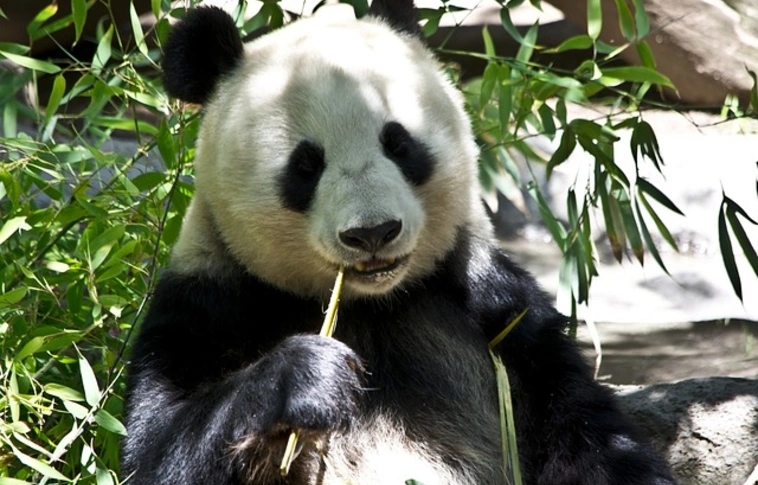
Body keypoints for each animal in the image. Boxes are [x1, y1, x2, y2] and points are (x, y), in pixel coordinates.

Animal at [121, 1, 677, 484]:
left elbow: (588, 435)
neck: (371, 305)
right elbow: (156, 450)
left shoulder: (498, 309)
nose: (372, 233)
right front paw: (308, 376)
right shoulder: (209, 304)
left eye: (399, 143)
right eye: (306, 165)